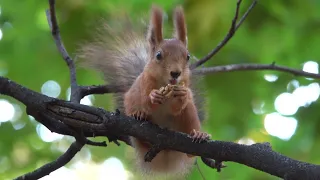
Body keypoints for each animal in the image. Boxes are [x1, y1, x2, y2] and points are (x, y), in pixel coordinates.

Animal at [78, 4, 210, 179]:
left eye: (187, 56)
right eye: (158, 55)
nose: (176, 73)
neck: (164, 84)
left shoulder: (184, 84)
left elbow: (177, 107)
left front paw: (183, 95)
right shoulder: (144, 84)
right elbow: (147, 101)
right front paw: (153, 97)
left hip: (190, 116)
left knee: (190, 150)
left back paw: (198, 135)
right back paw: (140, 115)